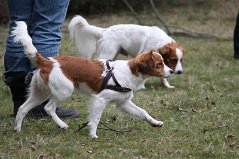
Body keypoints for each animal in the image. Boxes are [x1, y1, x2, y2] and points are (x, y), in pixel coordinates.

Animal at [12, 20, 173, 138]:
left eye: (163, 62)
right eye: (159, 64)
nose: (171, 71)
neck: (128, 72)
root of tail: (48, 61)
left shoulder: (123, 102)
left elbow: (143, 112)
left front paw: (155, 122)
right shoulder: (100, 99)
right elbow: (95, 119)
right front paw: (93, 134)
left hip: (40, 93)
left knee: (22, 108)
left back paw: (17, 130)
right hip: (64, 91)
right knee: (48, 108)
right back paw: (62, 124)